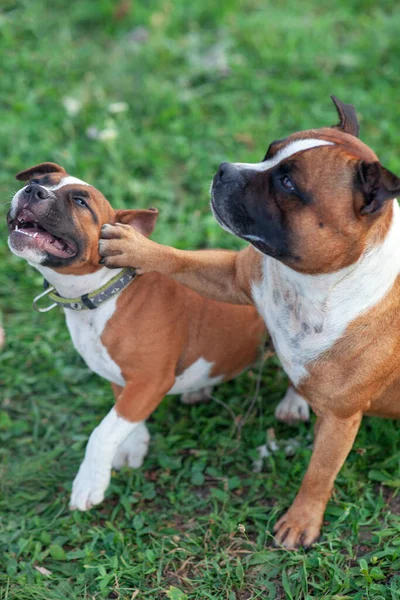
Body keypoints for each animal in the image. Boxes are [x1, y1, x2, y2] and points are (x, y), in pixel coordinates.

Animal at [7, 163, 268, 510]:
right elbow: (121, 417)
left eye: (80, 202)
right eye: (38, 180)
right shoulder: (126, 379)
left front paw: (89, 482)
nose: (33, 191)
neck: (104, 294)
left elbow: (102, 433)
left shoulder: (150, 380)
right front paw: (134, 444)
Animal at [97, 97, 400, 548]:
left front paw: (301, 521)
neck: (312, 285)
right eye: (268, 152)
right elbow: (180, 259)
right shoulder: (234, 277)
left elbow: (318, 474)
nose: (224, 169)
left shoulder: (341, 422)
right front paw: (137, 246)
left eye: (289, 185)